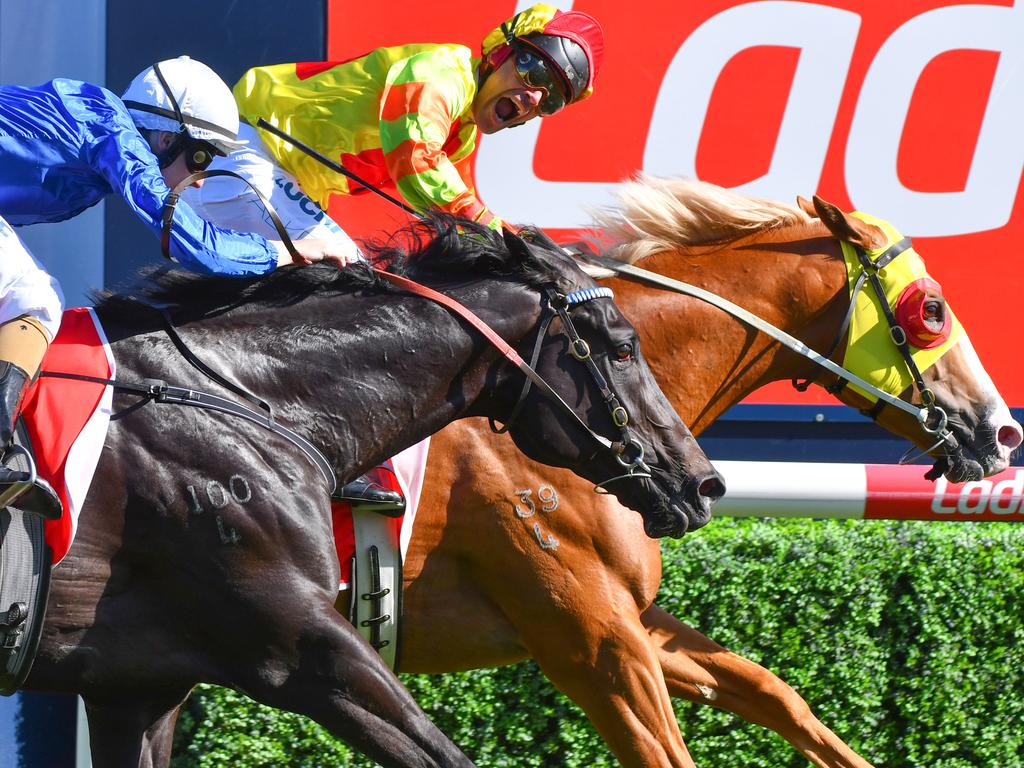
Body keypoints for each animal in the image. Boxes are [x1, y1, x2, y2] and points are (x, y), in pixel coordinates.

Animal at [348, 179, 1019, 765]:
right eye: (932, 309)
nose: (1002, 432)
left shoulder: (630, 617)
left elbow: (774, 692)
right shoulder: (588, 634)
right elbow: (667, 754)